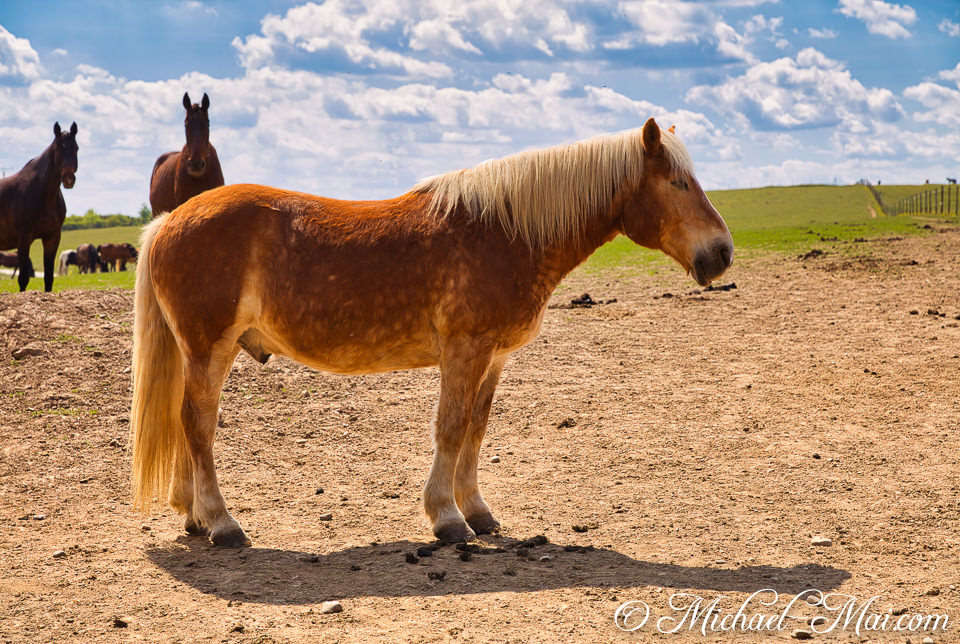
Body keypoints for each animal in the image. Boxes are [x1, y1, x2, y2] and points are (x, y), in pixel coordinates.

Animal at [0, 122, 78, 291]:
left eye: (76, 148)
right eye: (58, 148)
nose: (69, 179)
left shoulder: (52, 238)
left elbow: (48, 277)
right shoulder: (23, 238)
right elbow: (23, 278)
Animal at [130, 118, 733, 548]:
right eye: (677, 183)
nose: (721, 253)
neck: (504, 231)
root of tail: (170, 220)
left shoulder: (493, 357)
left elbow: (475, 430)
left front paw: (478, 512)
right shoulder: (465, 350)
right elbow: (451, 427)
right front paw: (446, 519)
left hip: (201, 352)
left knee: (188, 424)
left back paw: (194, 517)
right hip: (210, 348)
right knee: (198, 425)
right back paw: (222, 523)